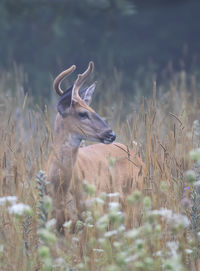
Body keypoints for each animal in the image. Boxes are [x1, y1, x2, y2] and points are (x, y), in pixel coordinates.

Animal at [47, 62, 146, 234]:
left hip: (132, 200)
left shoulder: (94, 214)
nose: (111, 134)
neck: (61, 187)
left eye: (93, 109)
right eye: (82, 113)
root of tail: (139, 159)